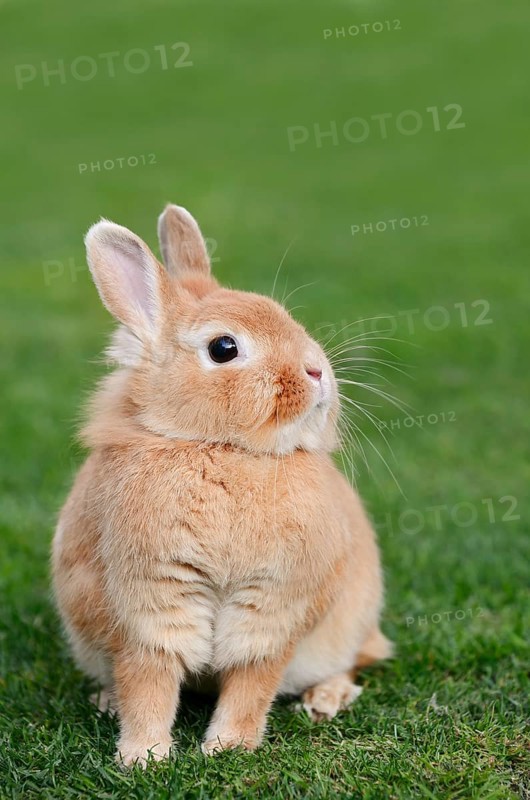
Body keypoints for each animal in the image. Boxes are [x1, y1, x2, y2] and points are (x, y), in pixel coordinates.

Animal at [51, 204, 392, 767]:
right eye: (224, 347)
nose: (317, 372)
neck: (221, 450)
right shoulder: (150, 602)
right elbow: (149, 680)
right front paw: (143, 756)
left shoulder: (272, 607)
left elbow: (253, 680)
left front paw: (228, 746)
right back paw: (107, 701)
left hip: (346, 623)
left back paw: (325, 699)